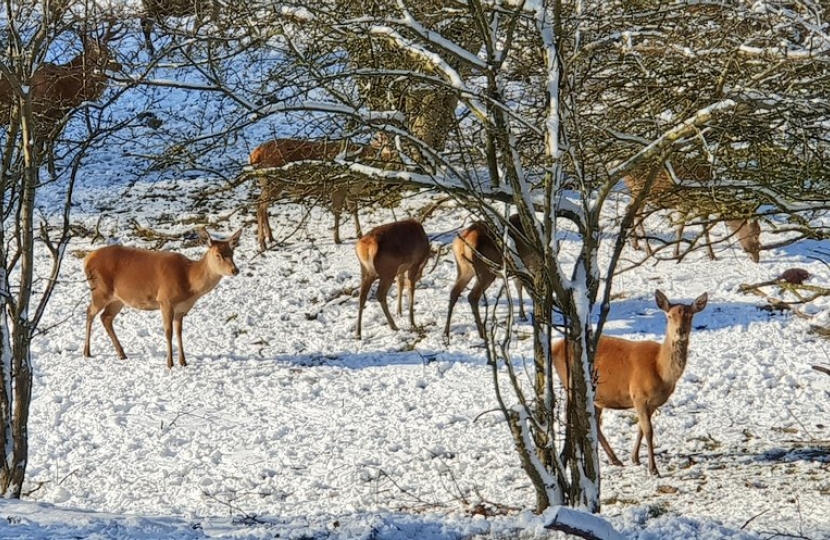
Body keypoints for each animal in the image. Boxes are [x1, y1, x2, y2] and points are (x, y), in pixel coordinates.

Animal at [83, 226, 242, 370]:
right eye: (217, 255)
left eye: (232, 252)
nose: (235, 270)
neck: (189, 282)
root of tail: (86, 259)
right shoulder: (165, 299)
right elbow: (168, 332)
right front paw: (170, 363)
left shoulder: (181, 308)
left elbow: (179, 332)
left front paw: (183, 362)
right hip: (100, 290)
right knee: (90, 311)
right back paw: (87, 352)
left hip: (118, 299)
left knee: (106, 317)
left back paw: (121, 353)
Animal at [250, 133, 396, 251]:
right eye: (381, 138)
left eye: (391, 138)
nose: (391, 147)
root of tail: (255, 154)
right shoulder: (339, 186)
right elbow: (337, 212)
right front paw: (337, 239)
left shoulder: (351, 191)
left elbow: (354, 211)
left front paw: (360, 235)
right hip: (273, 181)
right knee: (259, 205)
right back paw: (263, 243)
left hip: (268, 182)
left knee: (263, 206)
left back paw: (271, 238)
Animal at [552, 288, 708, 474]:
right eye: (669, 316)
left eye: (690, 315)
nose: (680, 331)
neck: (661, 371)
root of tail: (555, 347)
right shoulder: (638, 395)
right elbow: (648, 430)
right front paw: (653, 469)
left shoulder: (653, 402)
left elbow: (641, 428)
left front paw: (635, 458)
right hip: (570, 382)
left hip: (597, 396)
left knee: (595, 423)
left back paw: (614, 459)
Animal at [628, 165, 764, 264]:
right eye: (756, 236)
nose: (757, 259)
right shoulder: (684, 203)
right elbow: (680, 228)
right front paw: (676, 255)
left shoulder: (702, 210)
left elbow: (705, 230)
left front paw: (712, 256)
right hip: (639, 190)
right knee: (635, 213)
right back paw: (648, 250)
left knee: (630, 211)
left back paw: (635, 244)